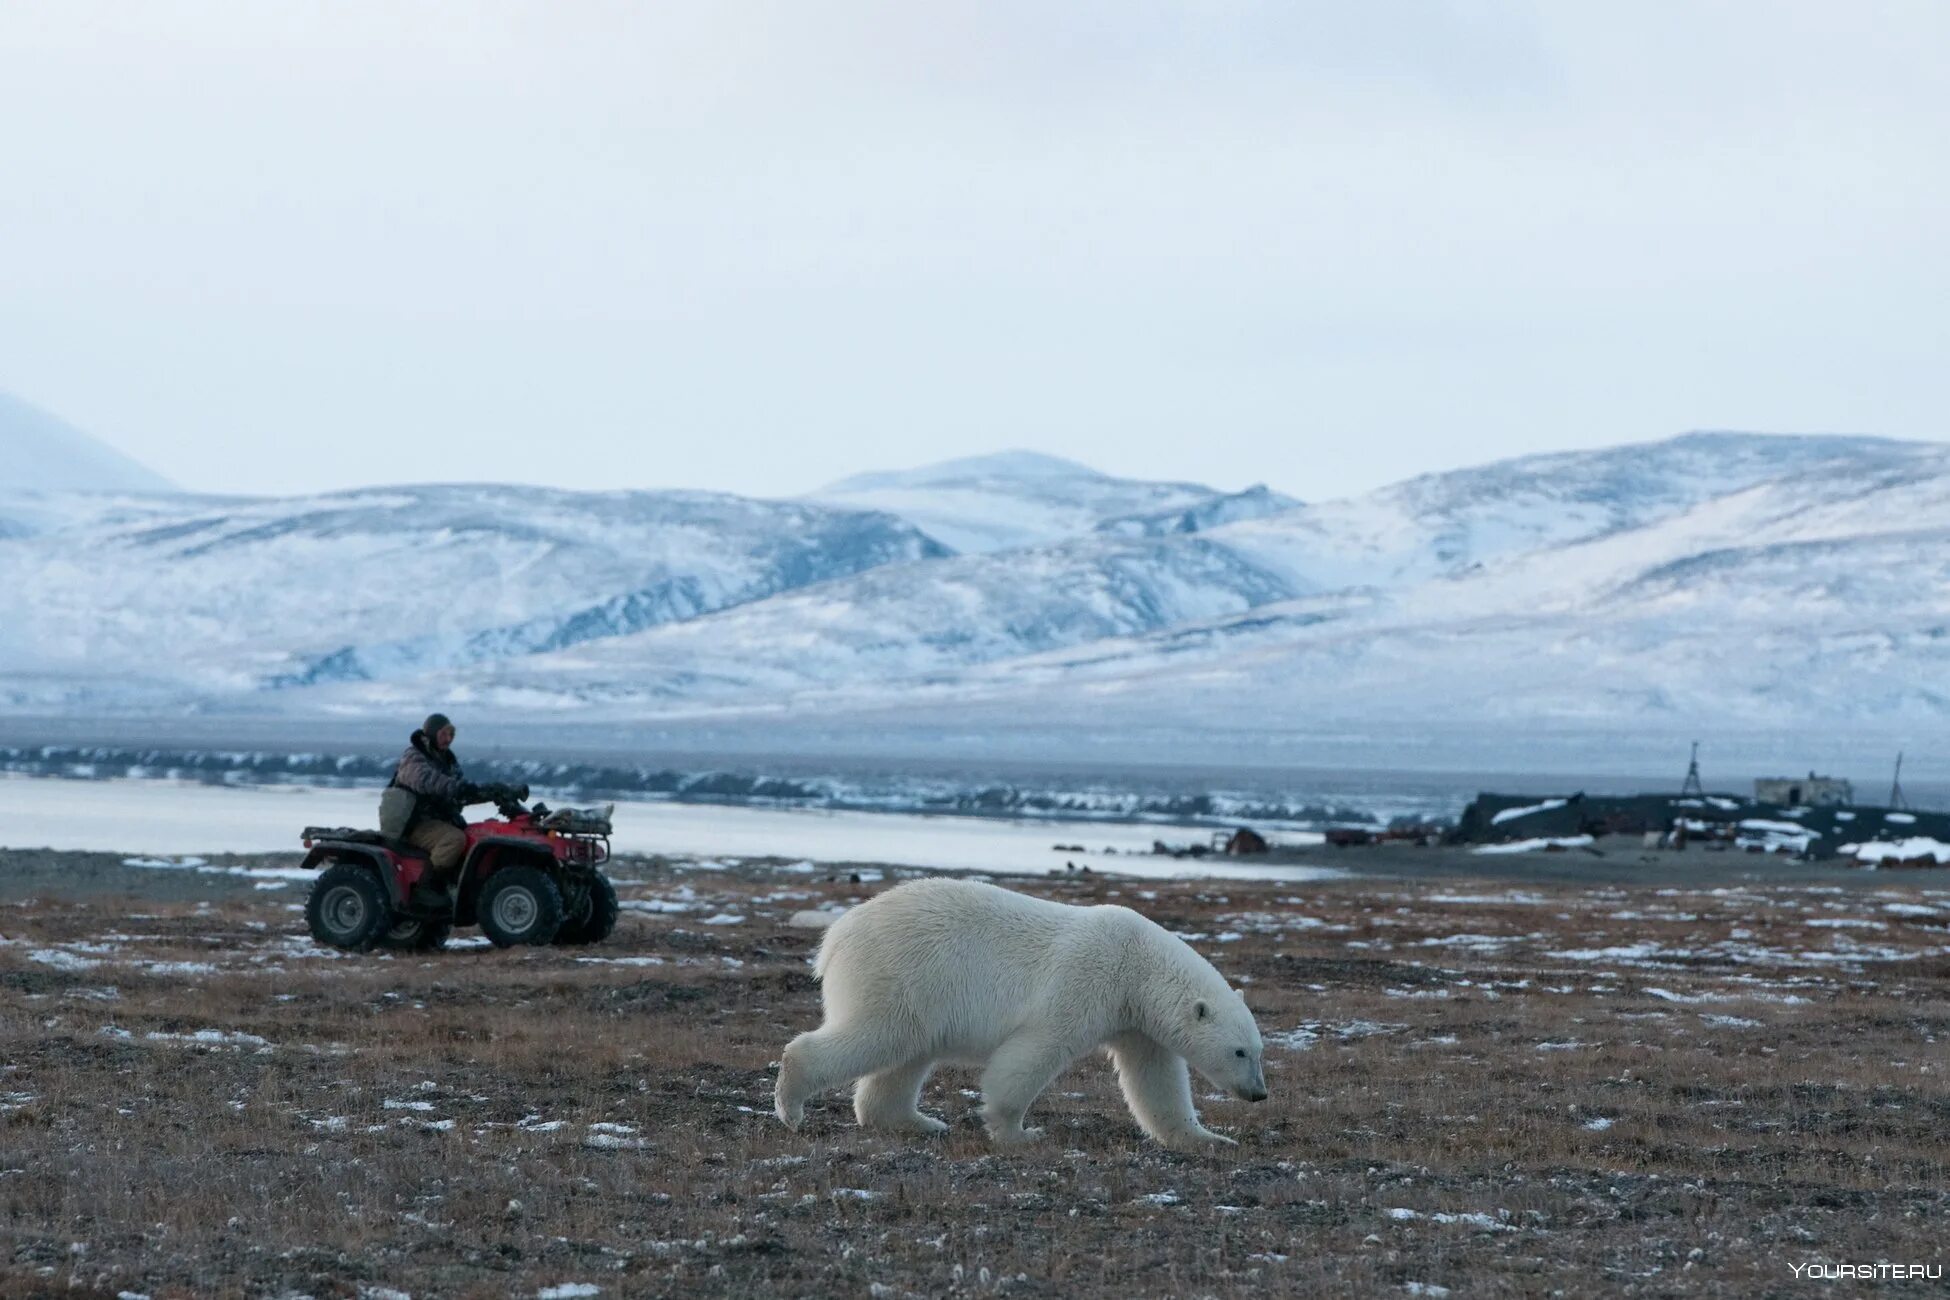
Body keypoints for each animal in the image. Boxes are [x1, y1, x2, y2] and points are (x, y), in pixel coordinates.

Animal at [768, 873, 1271, 1146]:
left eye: (1258, 1050)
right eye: (1240, 1052)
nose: (1259, 1094)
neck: (1136, 966)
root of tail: (836, 937)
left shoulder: (1135, 1023)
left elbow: (1157, 1082)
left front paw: (1208, 1137)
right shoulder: (1084, 982)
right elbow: (1034, 1050)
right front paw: (1018, 1131)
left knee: (906, 1054)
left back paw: (920, 1121)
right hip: (900, 972)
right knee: (877, 1035)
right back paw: (791, 1107)